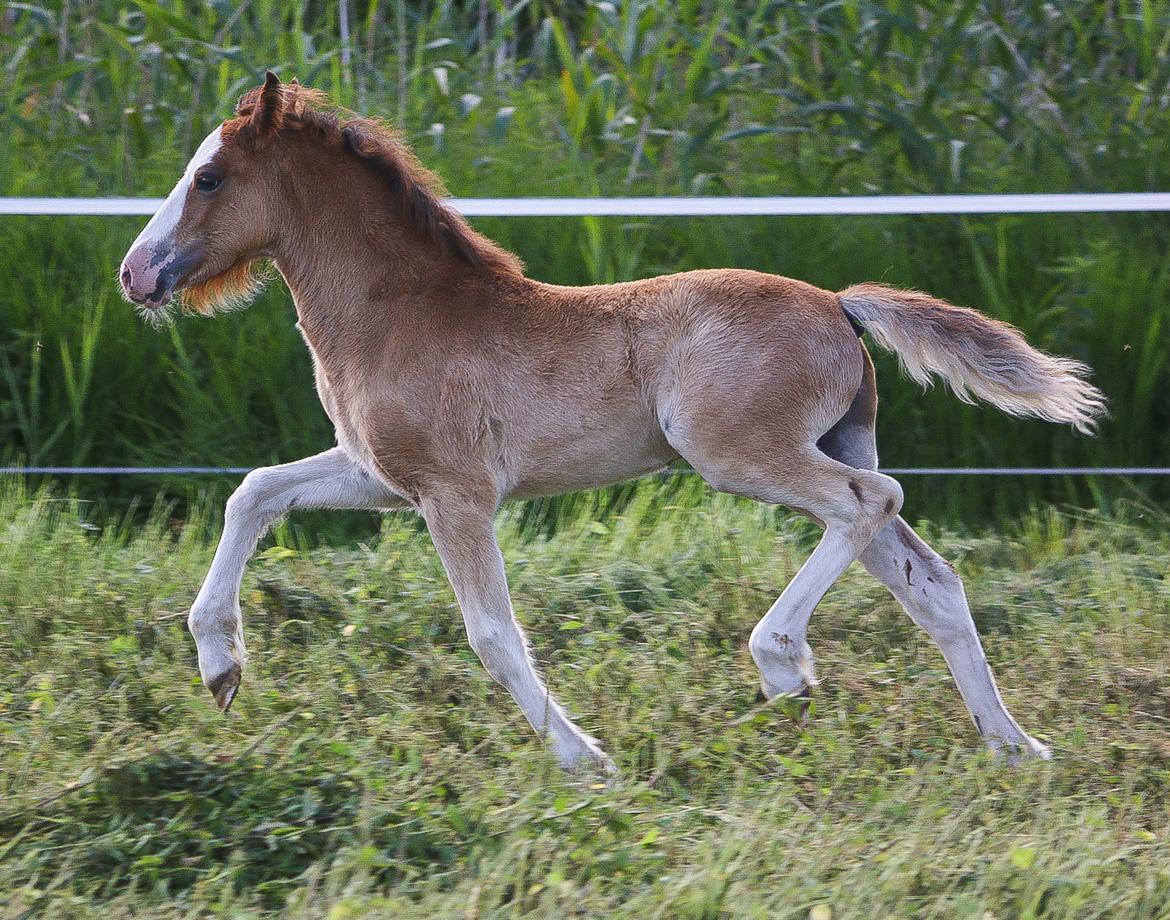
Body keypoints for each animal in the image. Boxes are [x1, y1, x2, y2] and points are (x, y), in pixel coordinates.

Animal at [118, 75, 1104, 772]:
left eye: (208, 177)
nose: (136, 273)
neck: (396, 312)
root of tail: (839, 305)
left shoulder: (453, 496)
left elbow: (492, 633)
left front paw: (583, 757)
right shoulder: (379, 477)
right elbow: (255, 492)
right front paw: (219, 667)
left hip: (741, 454)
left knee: (868, 500)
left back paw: (782, 661)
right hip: (822, 443)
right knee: (928, 577)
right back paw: (1017, 746)